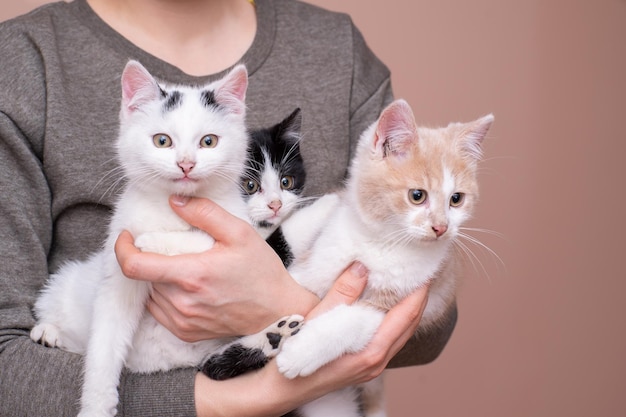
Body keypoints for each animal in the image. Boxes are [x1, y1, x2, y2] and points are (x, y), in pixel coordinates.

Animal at [276, 99, 490, 414]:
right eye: (417, 196)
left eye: (456, 199)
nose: (441, 228)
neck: (381, 244)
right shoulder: (316, 260)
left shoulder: (399, 302)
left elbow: (353, 321)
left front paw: (302, 351)